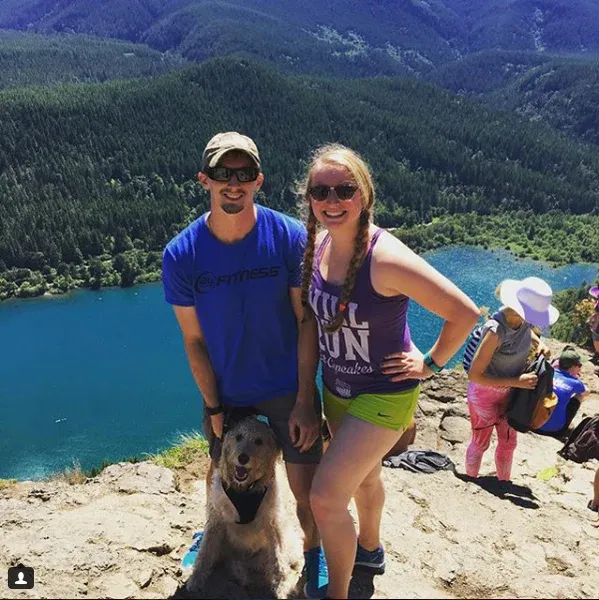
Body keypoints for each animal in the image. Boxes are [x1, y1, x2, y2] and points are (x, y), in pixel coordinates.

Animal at [185, 418, 292, 600]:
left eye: (259, 441)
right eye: (239, 437)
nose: (243, 458)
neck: (244, 490)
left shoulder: (272, 522)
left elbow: (278, 558)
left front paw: (282, 586)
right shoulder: (216, 520)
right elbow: (205, 552)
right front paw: (196, 579)